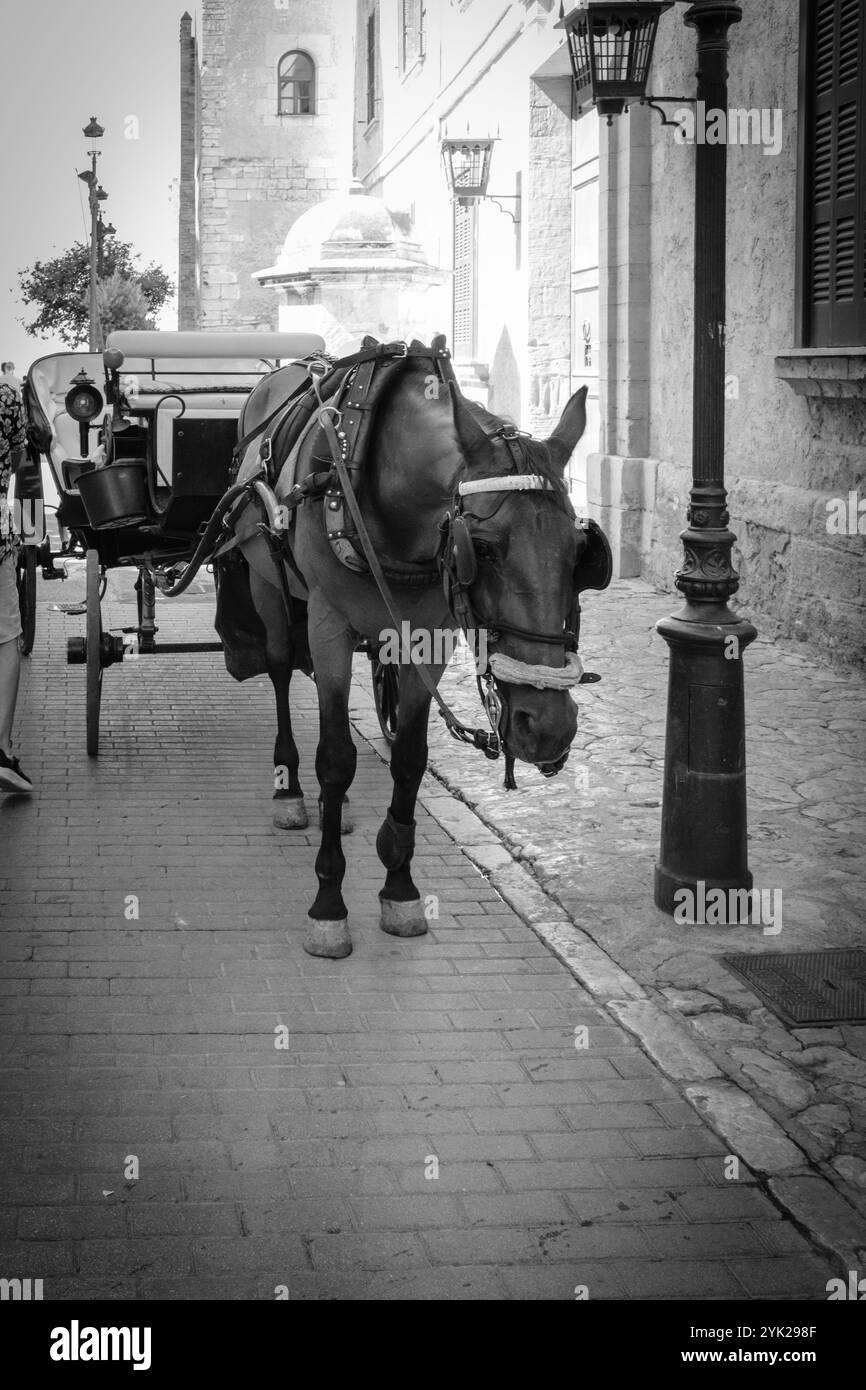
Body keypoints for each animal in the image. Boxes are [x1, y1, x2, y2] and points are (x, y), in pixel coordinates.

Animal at [223, 341, 600, 961]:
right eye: (483, 550)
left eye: (581, 552)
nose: (547, 726)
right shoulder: (328, 626)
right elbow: (336, 759)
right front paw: (329, 903)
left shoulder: (432, 636)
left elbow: (410, 758)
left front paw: (399, 888)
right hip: (269, 586)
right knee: (280, 672)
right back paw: (291, 789)